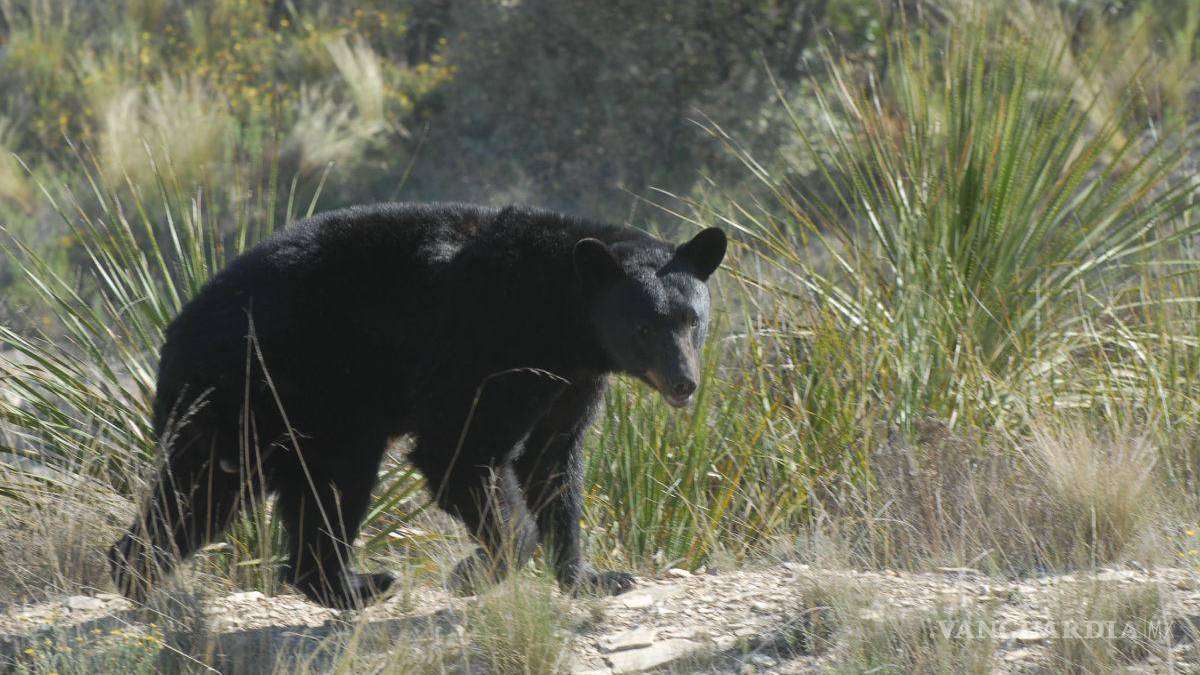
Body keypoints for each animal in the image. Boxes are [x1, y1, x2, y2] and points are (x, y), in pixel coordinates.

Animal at [109, 202, 727, 609]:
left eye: (692, 320)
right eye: (643, 328)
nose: (683, 383)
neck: (563, 313)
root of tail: (172, 339)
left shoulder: (573, 381)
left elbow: (553, 464)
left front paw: (592, 577)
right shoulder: (490, 351)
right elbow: (462, 450)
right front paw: (476, 571)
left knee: (216, 495)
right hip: (272, 391)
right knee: (298, 485)